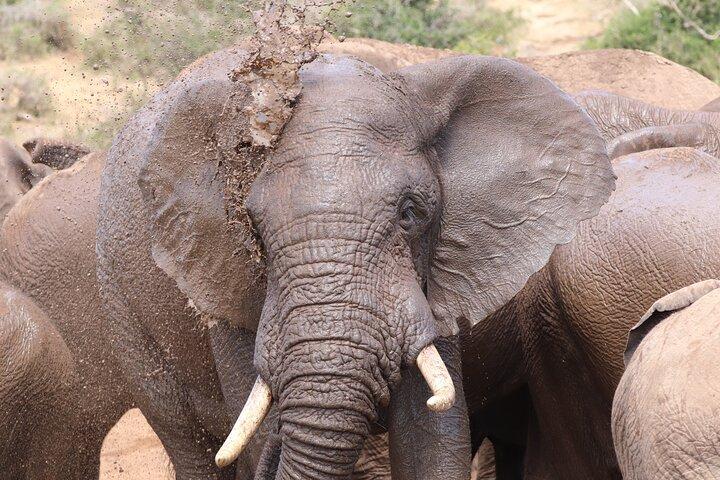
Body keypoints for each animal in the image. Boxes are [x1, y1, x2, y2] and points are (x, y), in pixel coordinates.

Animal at [96, 39, 614, 480]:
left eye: (410, 213)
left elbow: (431, 438)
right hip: (123, 311)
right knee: (190, 443)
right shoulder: (228, 287)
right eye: (254, 231)